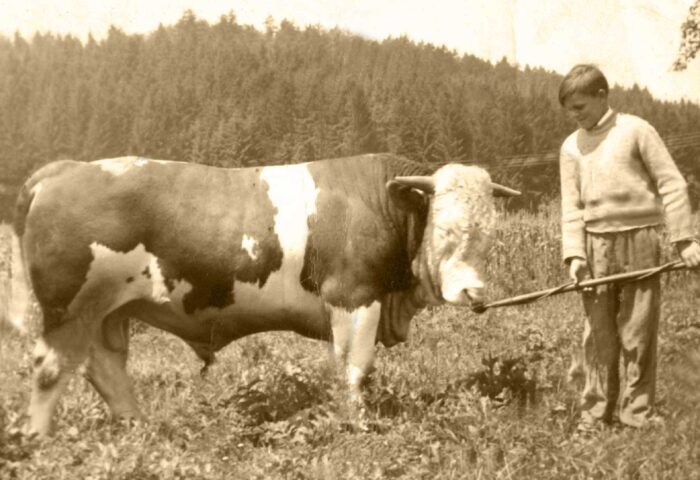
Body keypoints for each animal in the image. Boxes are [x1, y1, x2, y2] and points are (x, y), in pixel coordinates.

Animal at [8, 154, 516, 436]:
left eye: (491, 233)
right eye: (446, 228)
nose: (473, 291)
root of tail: (66, 169)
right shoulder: (354, 296)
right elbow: (355, 368)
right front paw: (357, 425)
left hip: (109, 311)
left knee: (105, 367)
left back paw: (138, 428)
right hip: (68, 307)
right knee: (51, 368)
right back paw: (39, 439)